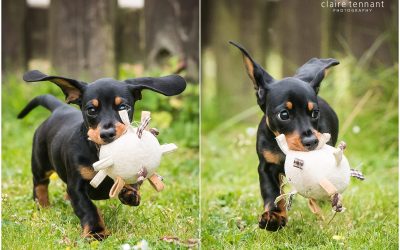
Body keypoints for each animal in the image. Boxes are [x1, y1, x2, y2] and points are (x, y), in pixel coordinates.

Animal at [17, 70, 186, 238]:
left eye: (123, 107)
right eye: (91, 110)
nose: (107, 133)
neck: (96, 153)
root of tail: (60, 109)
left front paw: (130, 192)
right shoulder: (77, 188)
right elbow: (88, 209)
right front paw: (95, 232)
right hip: (40, 163)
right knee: (40, 185)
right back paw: (43, 207)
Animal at [230, 41, 340, 230]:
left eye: (315, 113)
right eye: (284, 115)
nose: (311, 141)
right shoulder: (266, 167)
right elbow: (272, 192)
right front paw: (274, 217)